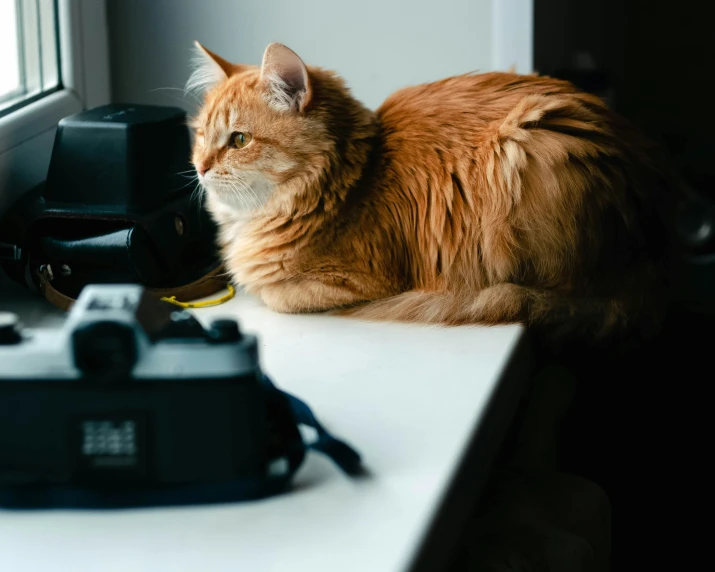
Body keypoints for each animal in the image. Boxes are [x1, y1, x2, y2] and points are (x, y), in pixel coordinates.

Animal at [189, 43, 672, 344]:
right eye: (200, 136)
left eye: (238, 140)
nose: (201, 167)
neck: (348, 182)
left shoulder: (360, 280)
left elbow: (275, 294)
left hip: (527, 146)